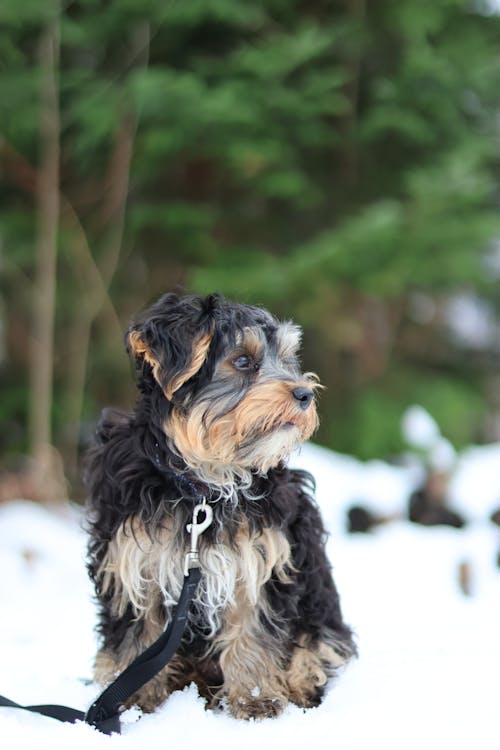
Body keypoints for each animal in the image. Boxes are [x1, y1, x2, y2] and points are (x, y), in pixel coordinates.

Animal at [87, 294, 360, 724]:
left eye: (287, 358)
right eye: (244, 361)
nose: (305, 394)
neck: (203, 487)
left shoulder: (260, 559)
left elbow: (252, 629)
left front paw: (255, 699)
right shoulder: (132, 562)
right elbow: (138, 633)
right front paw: (132, 702)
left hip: (319, 612)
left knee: (317, 647)